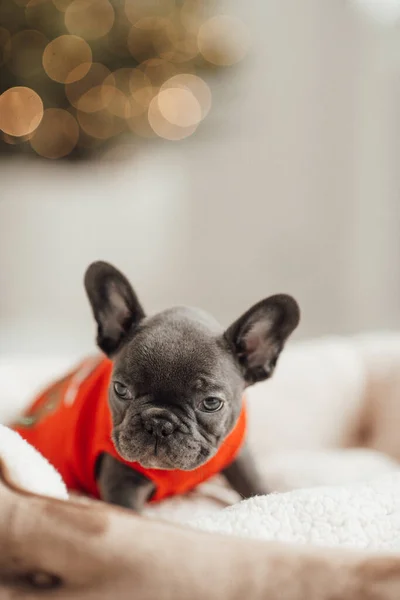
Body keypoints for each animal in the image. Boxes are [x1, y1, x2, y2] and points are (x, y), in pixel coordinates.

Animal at [85, 260, 300, 508]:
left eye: (211, 403)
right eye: (121, 389)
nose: (159, 424)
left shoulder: (239, 454)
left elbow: (252, 481)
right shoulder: (121, 484)